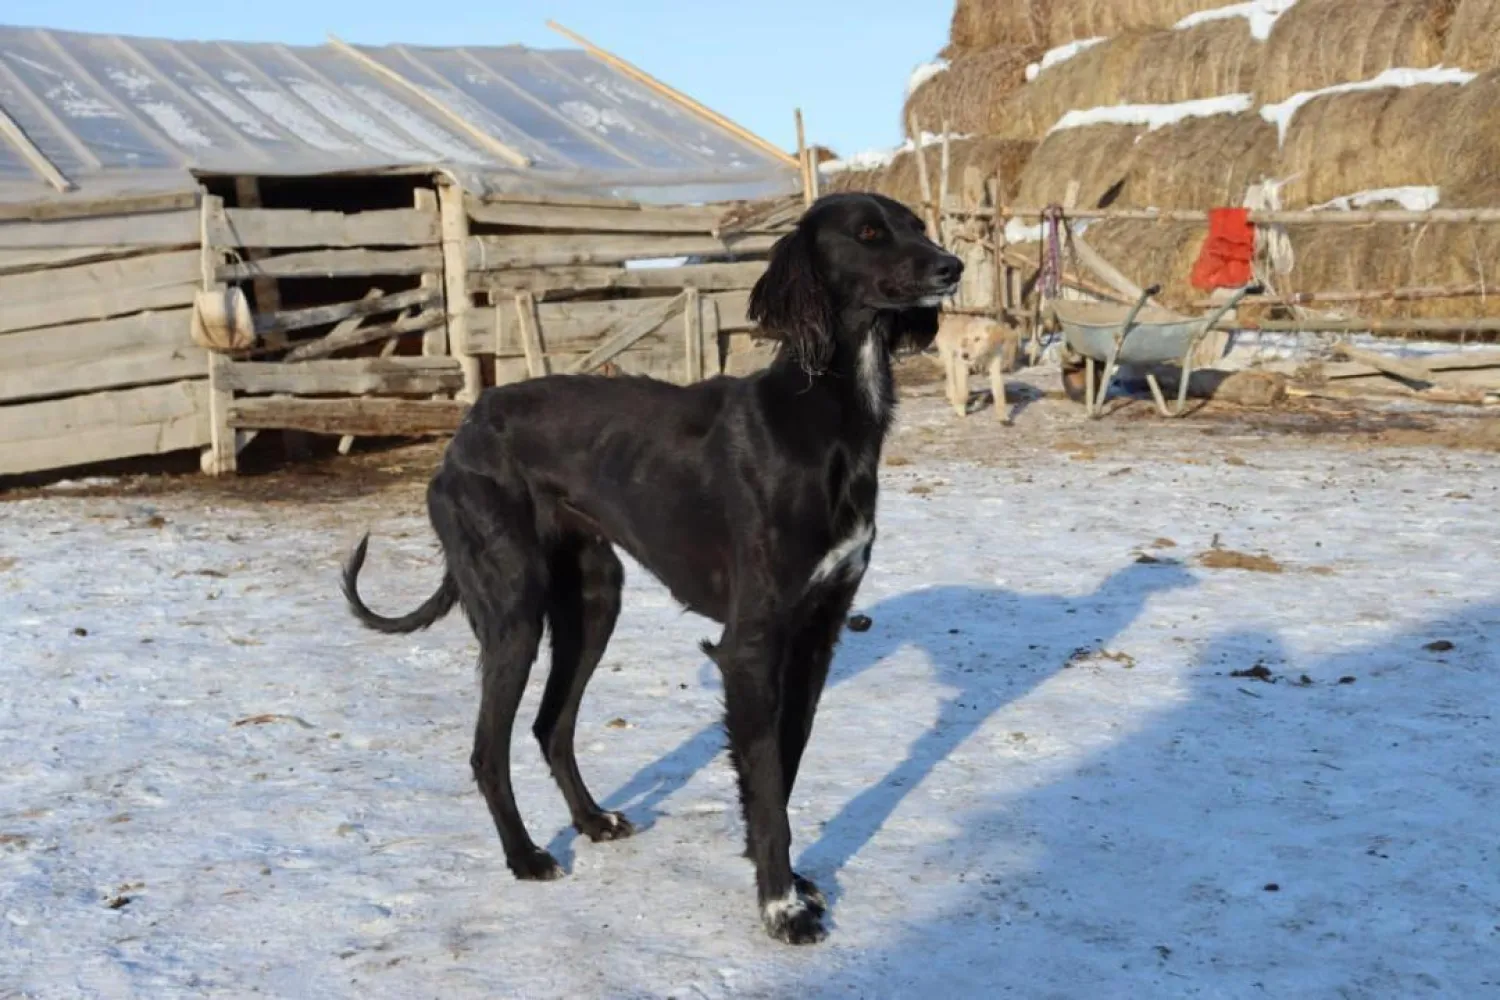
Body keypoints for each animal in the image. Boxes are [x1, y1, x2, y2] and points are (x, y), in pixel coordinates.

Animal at [342, 193, 960, 947]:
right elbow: (765, 778)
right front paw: (780, 905)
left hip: (593, 600)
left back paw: (591, 820)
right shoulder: (751, 644)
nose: (952, 266)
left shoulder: (818, 630)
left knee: (551, 725)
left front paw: (787, 881)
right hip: (514, 608)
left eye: (918, 225)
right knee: (489, 748)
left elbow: (783, 766)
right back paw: (526, 856)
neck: (823, 419)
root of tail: (462, 433)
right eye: (869, 232)